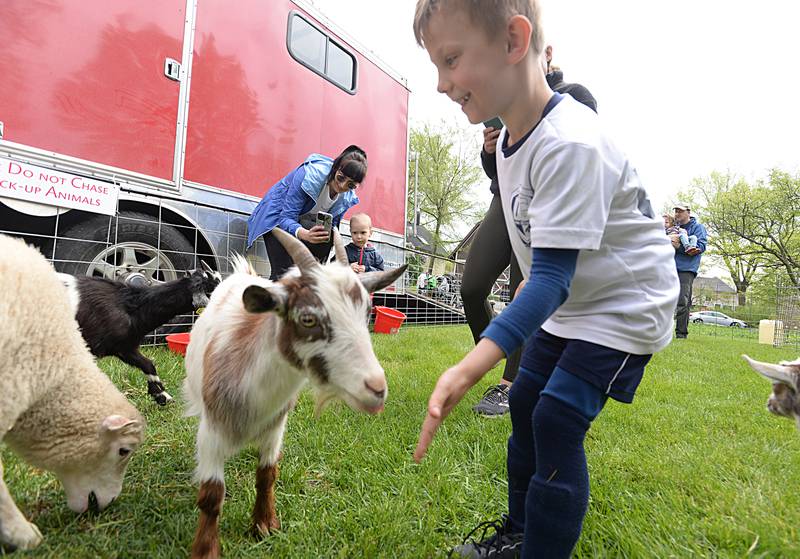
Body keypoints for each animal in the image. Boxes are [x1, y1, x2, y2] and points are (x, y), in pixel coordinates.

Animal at [182, 229, 406, 559]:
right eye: (308, 319)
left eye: (367, 313)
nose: (376, 388)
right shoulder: (211, 431)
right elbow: (211, 495)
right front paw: (206, 549)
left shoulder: (276, 426)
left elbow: (267, 474)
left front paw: (264, 524)